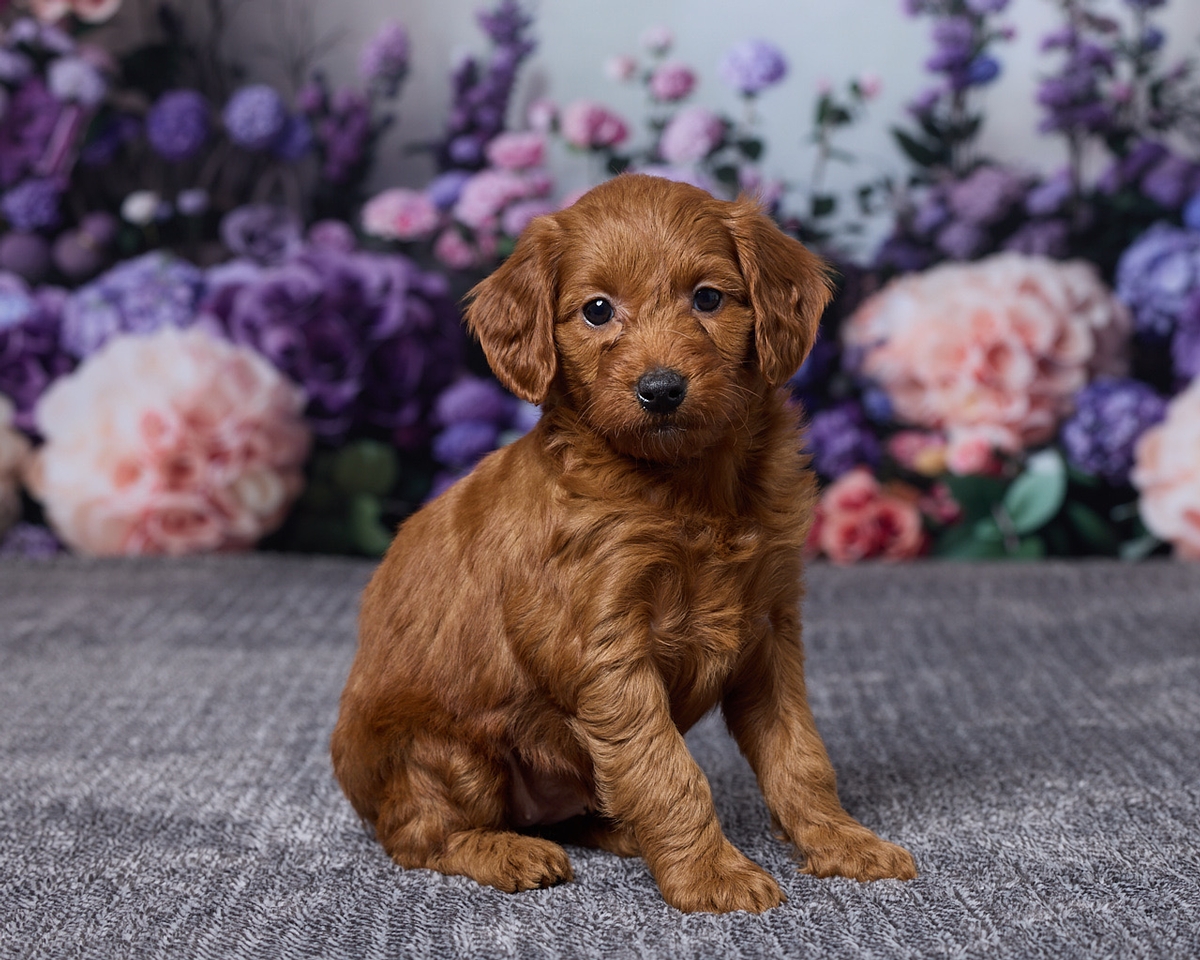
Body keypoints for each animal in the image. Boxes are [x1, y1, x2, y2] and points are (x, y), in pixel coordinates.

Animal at [331, 174, 917, 913]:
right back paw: (507, 851)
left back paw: (619, 832)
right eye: (598, 310)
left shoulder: (770, 632)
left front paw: (842, 840)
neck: (687, 487)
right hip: (445, 753)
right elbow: (665, 768)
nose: (661, 389)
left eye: (707, 298)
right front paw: (712, 874)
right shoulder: (605, 646)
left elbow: (800, 754)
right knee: (418, 837)